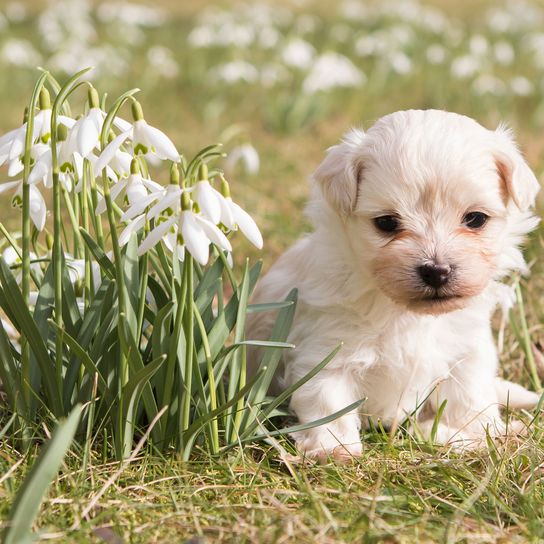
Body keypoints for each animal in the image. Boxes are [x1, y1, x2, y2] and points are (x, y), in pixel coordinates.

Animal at [249, 108, 540, 462]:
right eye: (387, 223)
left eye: (475, 219)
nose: (436, 271)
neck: (406, 312)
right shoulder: (326, 347)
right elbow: (326, 399)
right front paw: (333, 448)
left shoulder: (467, 349)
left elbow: (469, 395)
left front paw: (468, 434)